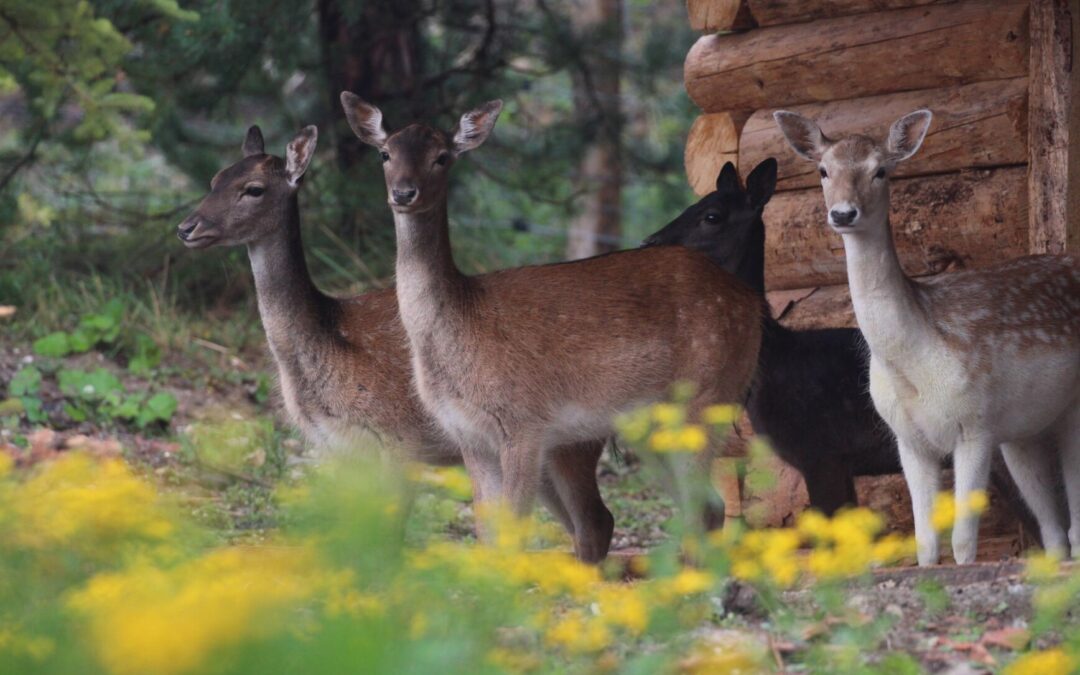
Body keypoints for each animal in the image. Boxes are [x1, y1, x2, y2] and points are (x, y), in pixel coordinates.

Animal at [178, 123, 617, 561]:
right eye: (215, 179)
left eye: (253, 189)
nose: (186, 227)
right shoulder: (333, 447)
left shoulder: (400, 438)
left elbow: (388, 538)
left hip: (571, 440)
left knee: (596, 520)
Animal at [341, 92, 764, 531]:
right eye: (385, 154)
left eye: (441, 156)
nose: (404, 193)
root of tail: (751, 302)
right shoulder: (468, 435)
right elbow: (487, 530)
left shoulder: (524, 422)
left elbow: (513, 529)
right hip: (651, 425)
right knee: (704, 505)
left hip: (705, 397)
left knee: (706, 504)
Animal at [643, 162, 1041, 537]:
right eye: (693, 203)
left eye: (712, 215)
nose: (650, 241)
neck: (775, 361)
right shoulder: (840, 462)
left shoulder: (820, 452)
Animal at [777, 109, 1080, 561]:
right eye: (823, 170)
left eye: (881, 170)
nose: (843, 214)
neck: (913, 362)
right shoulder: (908, 439)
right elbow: (924, 540)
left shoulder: (974, 424)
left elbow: (963, 539)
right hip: (1022, 433)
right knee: (1055, 531)